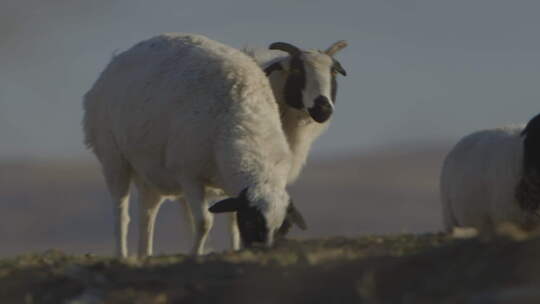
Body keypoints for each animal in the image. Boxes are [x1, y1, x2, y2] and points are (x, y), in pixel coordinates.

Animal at [82, 32, 306, 256]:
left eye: (284, 229)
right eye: (251, 222)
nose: (263, 251)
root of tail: (115, 61)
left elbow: (232, 224)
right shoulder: (189, 175)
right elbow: (204, 223)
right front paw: (195, 254)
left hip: (149, 172)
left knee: (147, 213)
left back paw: (145, 254)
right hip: (113, 157)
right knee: (121, 214)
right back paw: (122, 254)